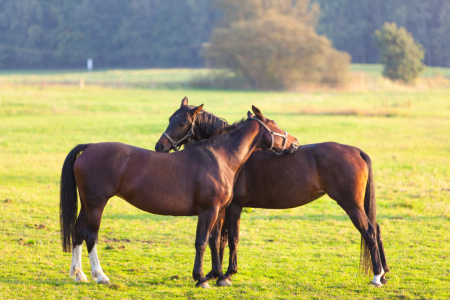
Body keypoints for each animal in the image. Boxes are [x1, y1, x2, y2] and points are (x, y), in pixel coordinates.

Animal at [59, 104, 298, 288]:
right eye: (275, 124)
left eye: (181, 123)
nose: (294, 142)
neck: (218, 157)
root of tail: (89, 147)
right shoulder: (208, 211)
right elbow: (202, 242)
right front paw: (201, 278)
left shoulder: (219, 211)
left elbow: (215, 241)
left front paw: (220, 277)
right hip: (96, 205)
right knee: (91, 236)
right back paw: (100, 276)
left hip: (87, 205)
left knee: (78, 233)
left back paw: (78, 274)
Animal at [156, 97, 390, 288]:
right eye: (169, 119)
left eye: (181, 123)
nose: (160, 147)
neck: (228, 153)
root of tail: (356, 151)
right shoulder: (220, 208)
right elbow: (218, 239)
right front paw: (215, 274)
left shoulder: (233, 206)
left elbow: (230, 238)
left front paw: (226, 274)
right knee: (376, 230)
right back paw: (384, 273)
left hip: (351, 205)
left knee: (369, 232)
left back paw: (376, 277)